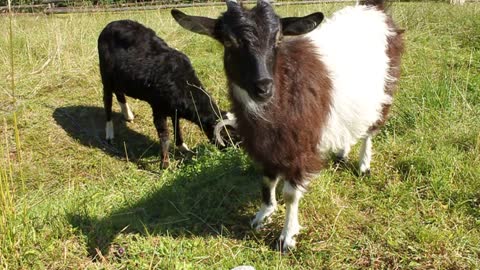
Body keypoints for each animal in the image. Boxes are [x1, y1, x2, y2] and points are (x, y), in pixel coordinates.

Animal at [98, 19, 236, 167]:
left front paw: (182, 147)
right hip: (106, 77)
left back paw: (128, 115)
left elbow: (177, 127)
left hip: (120, 78)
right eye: (229, 136)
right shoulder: (158, 108)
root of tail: (111, 24)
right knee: (107, 101)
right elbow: (164, 134)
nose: (236, 152)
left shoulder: (174, 109)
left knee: (119, 93)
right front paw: (165, 163)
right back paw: (109, 134)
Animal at [171, 0, 404, 251]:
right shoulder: (265, 147)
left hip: (385, 92)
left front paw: (287, 237)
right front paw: (263, 214)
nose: (263, 87)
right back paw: (342, 152)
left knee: (370, 131)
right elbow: (266, 181)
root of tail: (373, 8)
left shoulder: (300, 147)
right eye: (229, 41)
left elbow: (291, 194)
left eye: (278, 39)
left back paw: (363, 165)